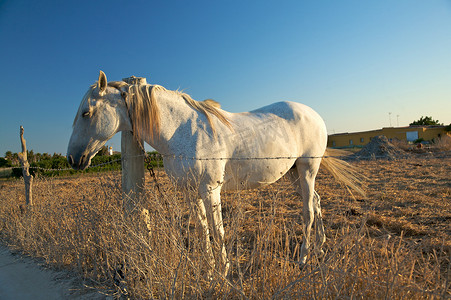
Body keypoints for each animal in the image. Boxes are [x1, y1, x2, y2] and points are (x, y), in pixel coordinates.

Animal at [67, 71, 364, 276]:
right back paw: (320, 247)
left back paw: (303, 257)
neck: (181, 131)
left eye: (86, 113)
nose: (72, 158)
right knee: (316, 202)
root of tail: (314, 115)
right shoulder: (191, 192)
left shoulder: (211, 190)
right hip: (293, 173)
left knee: (308, 211)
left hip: (306, 169)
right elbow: (202, 230)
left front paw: (224, 271)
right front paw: (209, 271)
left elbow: (218, 230)